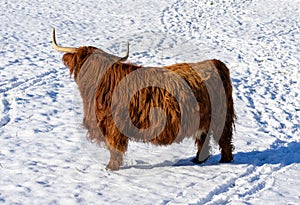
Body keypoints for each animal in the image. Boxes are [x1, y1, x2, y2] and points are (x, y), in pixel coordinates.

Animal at [52, 28, 236, 170]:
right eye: (81, 61)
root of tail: (215, 62)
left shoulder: (113, 125)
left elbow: (114, 147)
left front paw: (111, 167)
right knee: (203, 138)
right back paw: (198, 160)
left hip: (221, 116)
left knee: (224, 138)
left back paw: (225, 161)